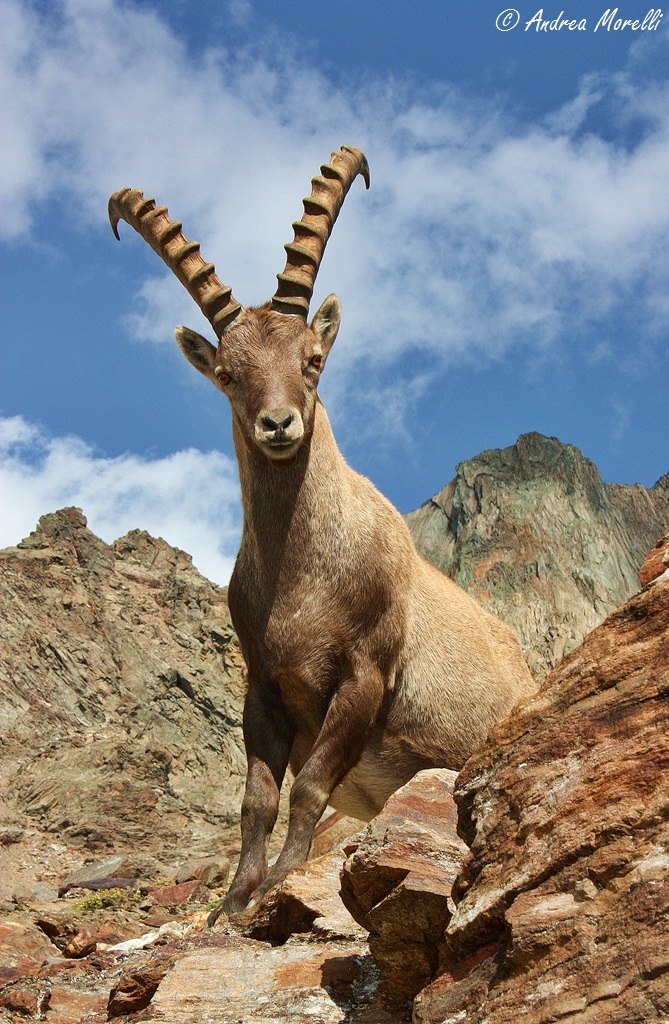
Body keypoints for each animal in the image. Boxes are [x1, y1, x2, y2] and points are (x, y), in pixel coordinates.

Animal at [109, 146, 536, 916]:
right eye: (227, 373)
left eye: (312, 358)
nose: (278, 424)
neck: (302, 581)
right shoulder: (264, 686)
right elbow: (255, 799)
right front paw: (234, 898)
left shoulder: (364, 674)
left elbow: (308, 786)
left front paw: (279, 881)